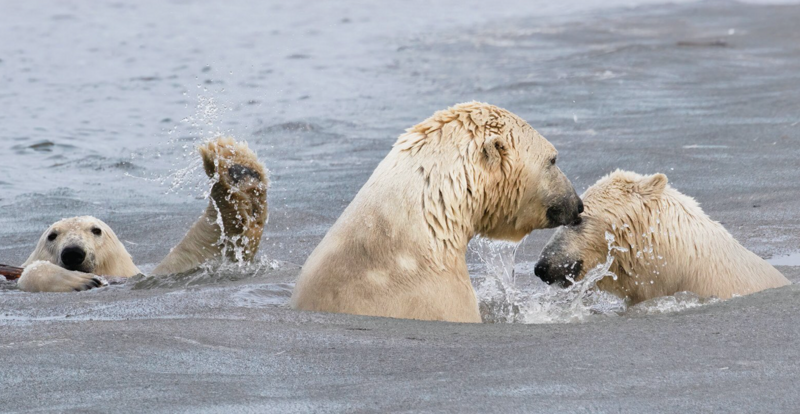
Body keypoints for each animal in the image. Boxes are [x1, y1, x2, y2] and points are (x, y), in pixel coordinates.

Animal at [16, 137, 268, 292]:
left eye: (96, 230)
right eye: (52, 236)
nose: (73, 253)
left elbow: (202, 253)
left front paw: (236, 170)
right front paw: (80, 281)